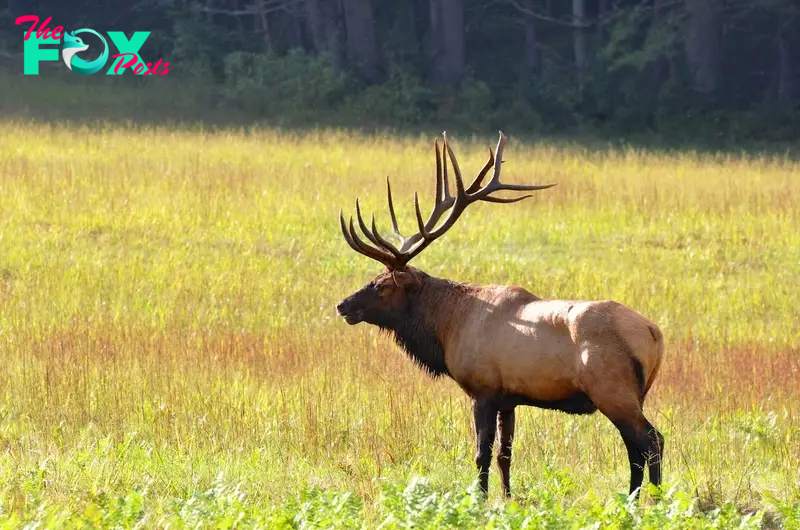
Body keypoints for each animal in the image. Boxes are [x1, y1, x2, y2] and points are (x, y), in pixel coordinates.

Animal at [334, 131, 664, 496]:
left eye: (382, 285)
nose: (343, 305)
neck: (447, 327)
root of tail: (654, 334)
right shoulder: (510, 399)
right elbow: (505, 454)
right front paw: (507, 498)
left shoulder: (483, 390)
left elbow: (482, 453)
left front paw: (479, 498)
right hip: (633, 395)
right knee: (635, 448)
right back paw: (633, 498)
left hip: (612, 390)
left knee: (651, 441)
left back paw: (654, 499)